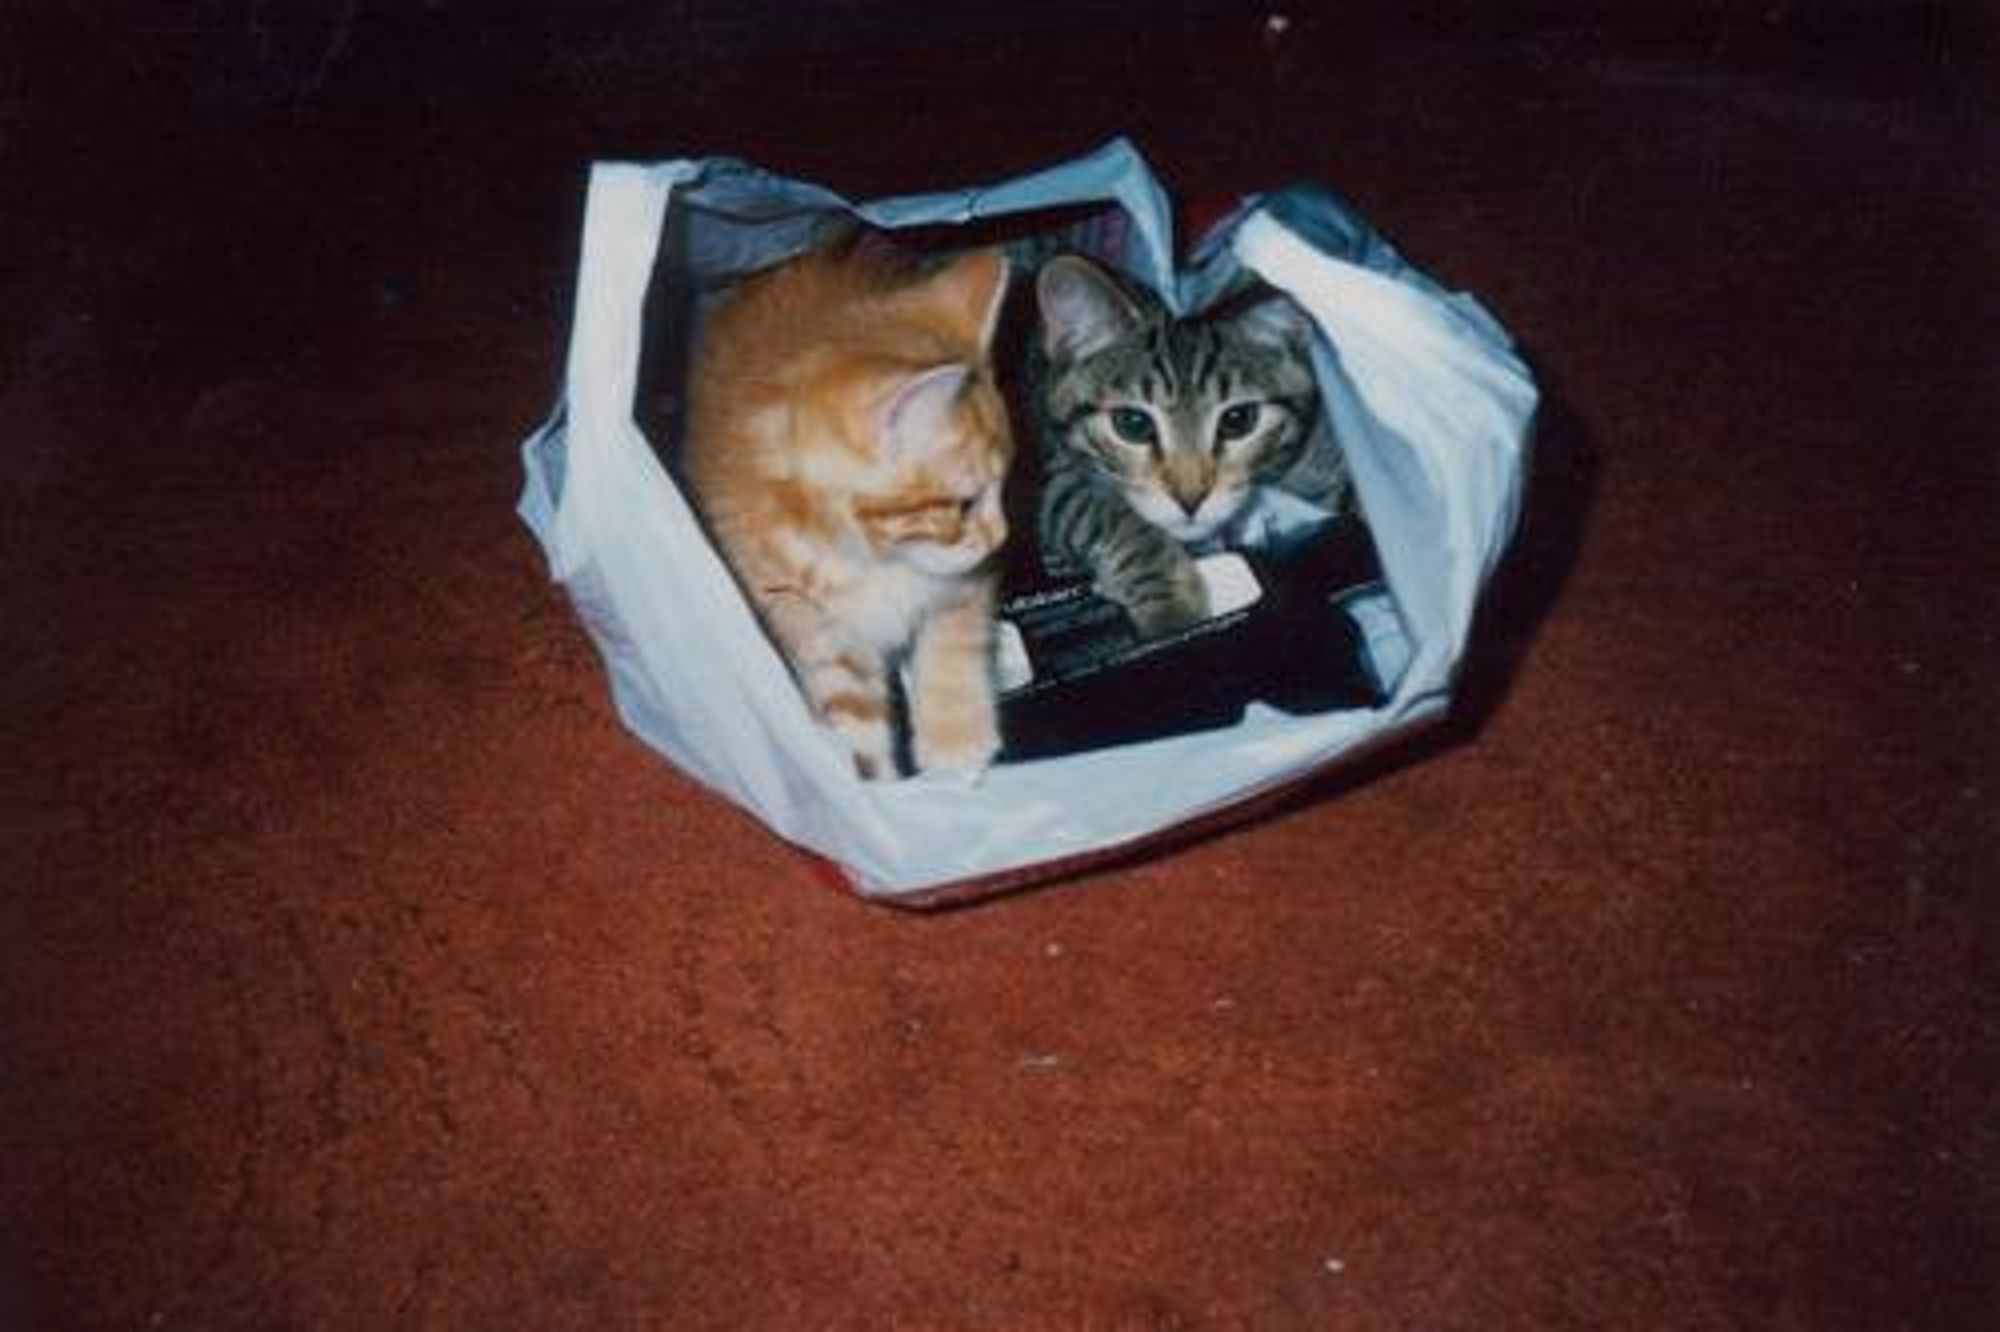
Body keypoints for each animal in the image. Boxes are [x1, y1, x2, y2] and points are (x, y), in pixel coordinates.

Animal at [684, 239, 1016, 780]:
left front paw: (956, 745)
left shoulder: (964, 577)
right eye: (964, 504)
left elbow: (954, 634)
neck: (874, 559)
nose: (1002, 537)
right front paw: (873, 786)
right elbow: (851, 712)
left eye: (1007, 484)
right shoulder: (811, 622)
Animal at [1032, 255, 1344, 640]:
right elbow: (1113, 516)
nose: (1190, 499)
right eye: (1132, 424)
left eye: (1238, 420)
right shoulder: (1052, 476)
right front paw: (1172, 615)